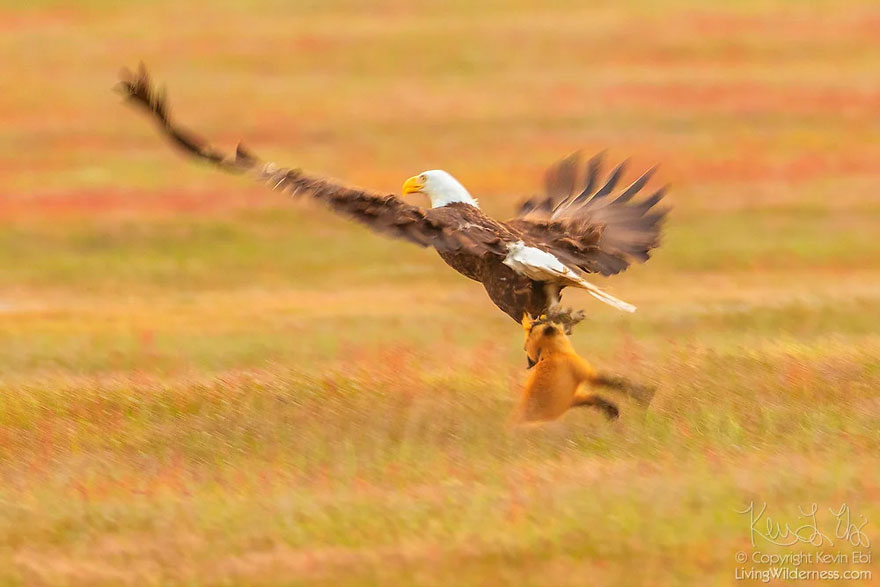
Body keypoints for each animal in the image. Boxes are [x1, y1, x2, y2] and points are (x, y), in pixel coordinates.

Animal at [514, 315, 655, 423]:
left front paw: (614, 412)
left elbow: (600, 400)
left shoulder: (574, 397)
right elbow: (619, 383)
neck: (554, 353)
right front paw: (644, 396)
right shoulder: (587, 376)